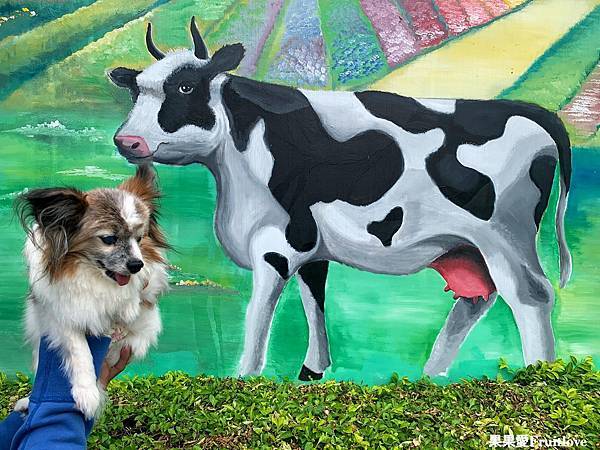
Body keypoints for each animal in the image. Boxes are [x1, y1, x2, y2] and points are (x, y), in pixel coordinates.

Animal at [14, 165, 169, 418]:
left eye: (139, 238)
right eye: (109, 239)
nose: (137, 265)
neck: (93, 276)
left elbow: (141, 292)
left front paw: (128, 305)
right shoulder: (59, 316)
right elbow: (80, 350)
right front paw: (87, 393)